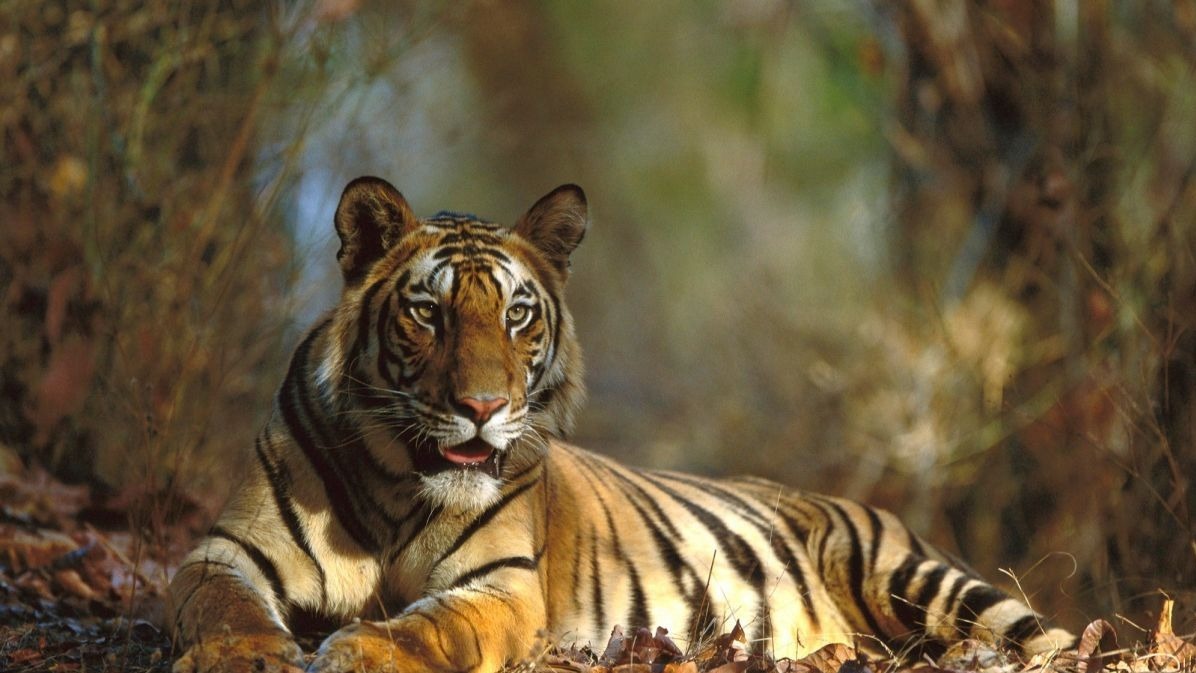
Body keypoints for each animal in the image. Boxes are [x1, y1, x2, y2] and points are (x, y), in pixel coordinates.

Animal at [168, 177, 1077, 673]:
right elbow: (222, 605)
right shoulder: (227, 551)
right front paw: (245, 653)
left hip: (922, 580)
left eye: (518, 314)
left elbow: (433, 625)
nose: (482, 407)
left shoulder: (499, 584)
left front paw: (362, 647)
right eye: (428, 313)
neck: (399, 479)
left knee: (1049, 637)